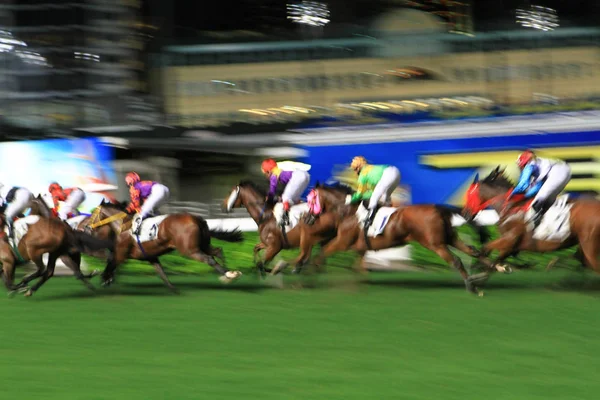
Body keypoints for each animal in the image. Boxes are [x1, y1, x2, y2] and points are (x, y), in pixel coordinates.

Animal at [89, 203, 244, 290]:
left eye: (92, 214)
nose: (87, 227)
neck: (122, 225)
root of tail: (197, 219)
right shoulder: (151, 256)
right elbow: (162, 273)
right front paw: (173, 288)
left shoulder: (121, 253)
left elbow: (111, 262)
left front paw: (105, 279)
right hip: (203, 244)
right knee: (218, 251)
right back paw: (229, 274)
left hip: (190, 250)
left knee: (209, 259)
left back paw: (228, 274)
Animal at [464, 167, 600, 276]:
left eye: (469, 194)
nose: (465, 214)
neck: (511, 207)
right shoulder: (511, 247)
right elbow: (492, 257)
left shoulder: (509, 239)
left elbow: (486, 249)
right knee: (581, 259)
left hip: (589, 246)